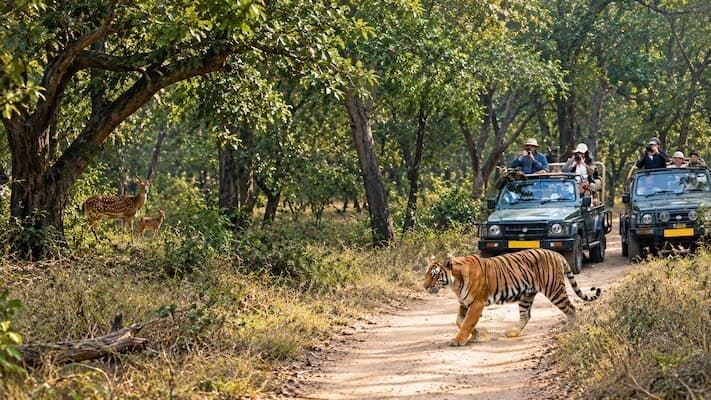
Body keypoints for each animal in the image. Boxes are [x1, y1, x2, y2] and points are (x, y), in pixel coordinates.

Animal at [423, 248, 601, 346]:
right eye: (426, 274)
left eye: (435, 275)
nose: (424, 286)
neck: (454, 283)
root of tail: (556, 253)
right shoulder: (465, 303)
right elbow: (460, 321)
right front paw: (477, 335)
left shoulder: (476, 304)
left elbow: (466, 323)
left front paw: (459, 340)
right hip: (526, 296)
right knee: (526, 315)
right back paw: (513, 332)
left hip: (554, 290)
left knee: (571, 308)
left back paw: (570, 327)